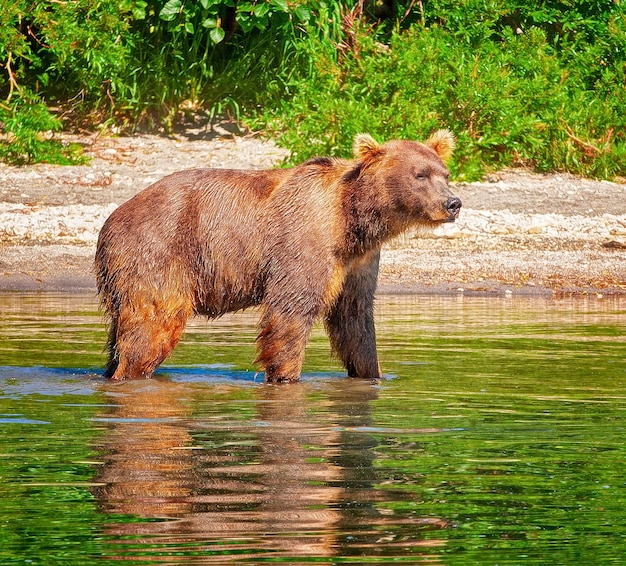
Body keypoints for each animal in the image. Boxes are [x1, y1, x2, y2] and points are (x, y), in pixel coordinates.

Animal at [96, 131, 458, 384]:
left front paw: (373, 373)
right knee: (152, 324)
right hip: (158, 251)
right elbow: (290, 312)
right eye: (420, 175)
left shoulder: (358, 262)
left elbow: (355, 320)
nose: (453, 203)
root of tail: (110, 220)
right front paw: (286, 375)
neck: (353, 220)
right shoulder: (304, 240)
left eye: (445, 173)